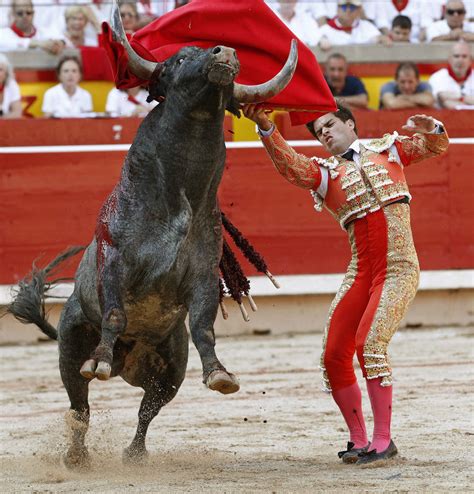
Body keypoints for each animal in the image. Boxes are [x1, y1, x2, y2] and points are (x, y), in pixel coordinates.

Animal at [8, 0, 296, 466]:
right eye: (178, 58)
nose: (224, 53)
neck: (178, 192)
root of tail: (129, 362)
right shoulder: (115, 258)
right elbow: (115, 313)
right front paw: (101, 361)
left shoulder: (203, 277)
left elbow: (204, 326)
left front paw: (220, 373)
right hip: (69, 348)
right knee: (79, 407)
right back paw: (78, 452)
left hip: (170, 369)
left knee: (148, 409)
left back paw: (135, 454)